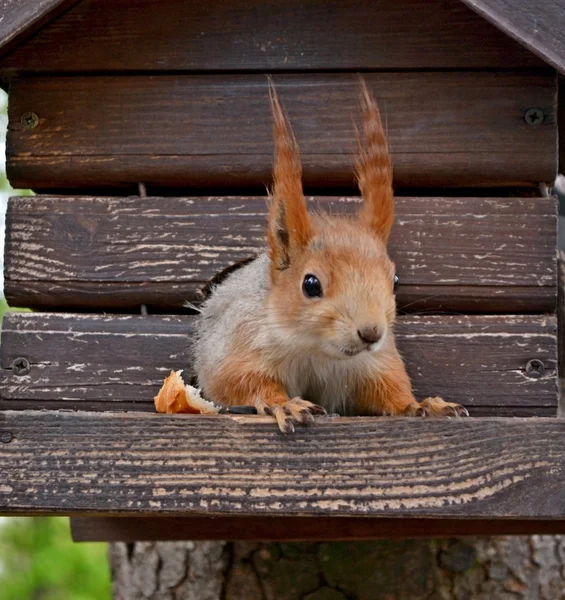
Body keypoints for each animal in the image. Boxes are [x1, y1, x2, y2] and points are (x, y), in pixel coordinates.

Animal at [194, 81, 468, 436]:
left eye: (394, 280)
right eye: (310, 284)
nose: (371, 333)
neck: (316, 349)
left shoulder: (375, 363)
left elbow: (388, 389)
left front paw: (420, 404)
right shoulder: (240, 339)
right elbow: (240, 380)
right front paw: (285, 403)